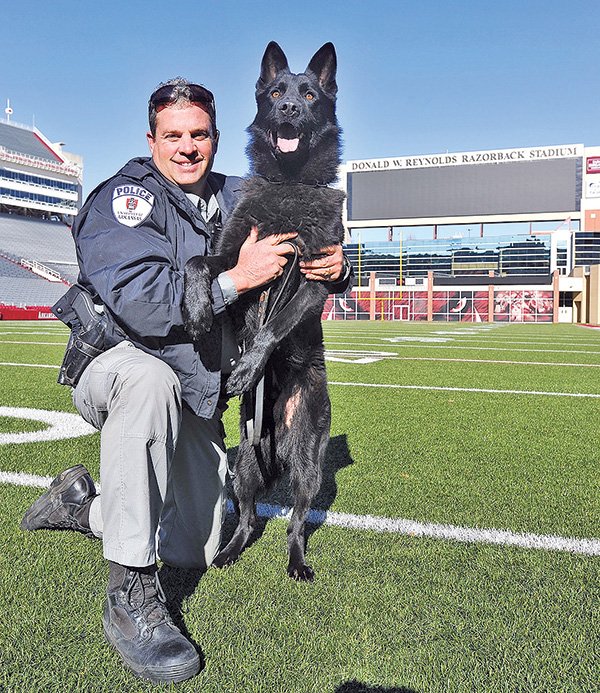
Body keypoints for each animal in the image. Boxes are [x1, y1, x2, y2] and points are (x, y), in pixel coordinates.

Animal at [182, 42, 342, 580]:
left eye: (309, 94)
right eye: (276, 92)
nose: (290, 108)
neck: (288, 187)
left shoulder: (314, 279)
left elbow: (274, 326)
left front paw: (250, 364)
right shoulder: (233, 254)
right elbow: (196, 262)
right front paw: (197, 312)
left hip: (307, 460)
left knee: (295, 521)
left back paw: (296, 562)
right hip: (245, 464)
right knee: (249, 517)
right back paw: (229, 552)